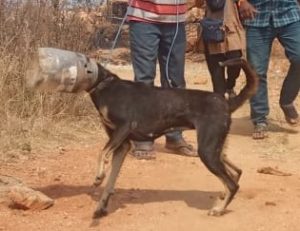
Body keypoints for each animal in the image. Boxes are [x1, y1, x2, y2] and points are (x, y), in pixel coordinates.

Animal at [86, 57, 258, 218]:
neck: (105, 84)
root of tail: (226, 103)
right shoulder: (122, 142)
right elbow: (109, 176)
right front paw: (101, 206)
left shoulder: (124, 127)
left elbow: (102, 153)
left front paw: (99, 177)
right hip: (216, 149)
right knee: (237, 172)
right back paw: (223, 197)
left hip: (207, 151)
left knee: (232, 184)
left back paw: (219, 209)